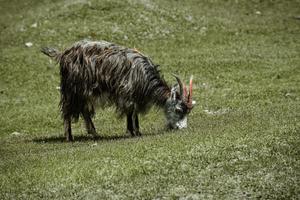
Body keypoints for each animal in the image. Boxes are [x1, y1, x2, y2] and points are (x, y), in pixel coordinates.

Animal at [41, 39, 193, 141]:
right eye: (178, 110)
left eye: (188, 112)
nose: (182, 128)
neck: (144, 75)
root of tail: (63, 54)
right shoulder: (127, 91)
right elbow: (130, 111)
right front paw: (131, 131)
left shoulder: (135, 95)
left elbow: (134, 112)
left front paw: (137, 131)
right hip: (72, 88)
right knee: (67, 110)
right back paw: (69, 137)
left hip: (84, 91)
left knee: (84, 110)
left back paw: (94, 133)